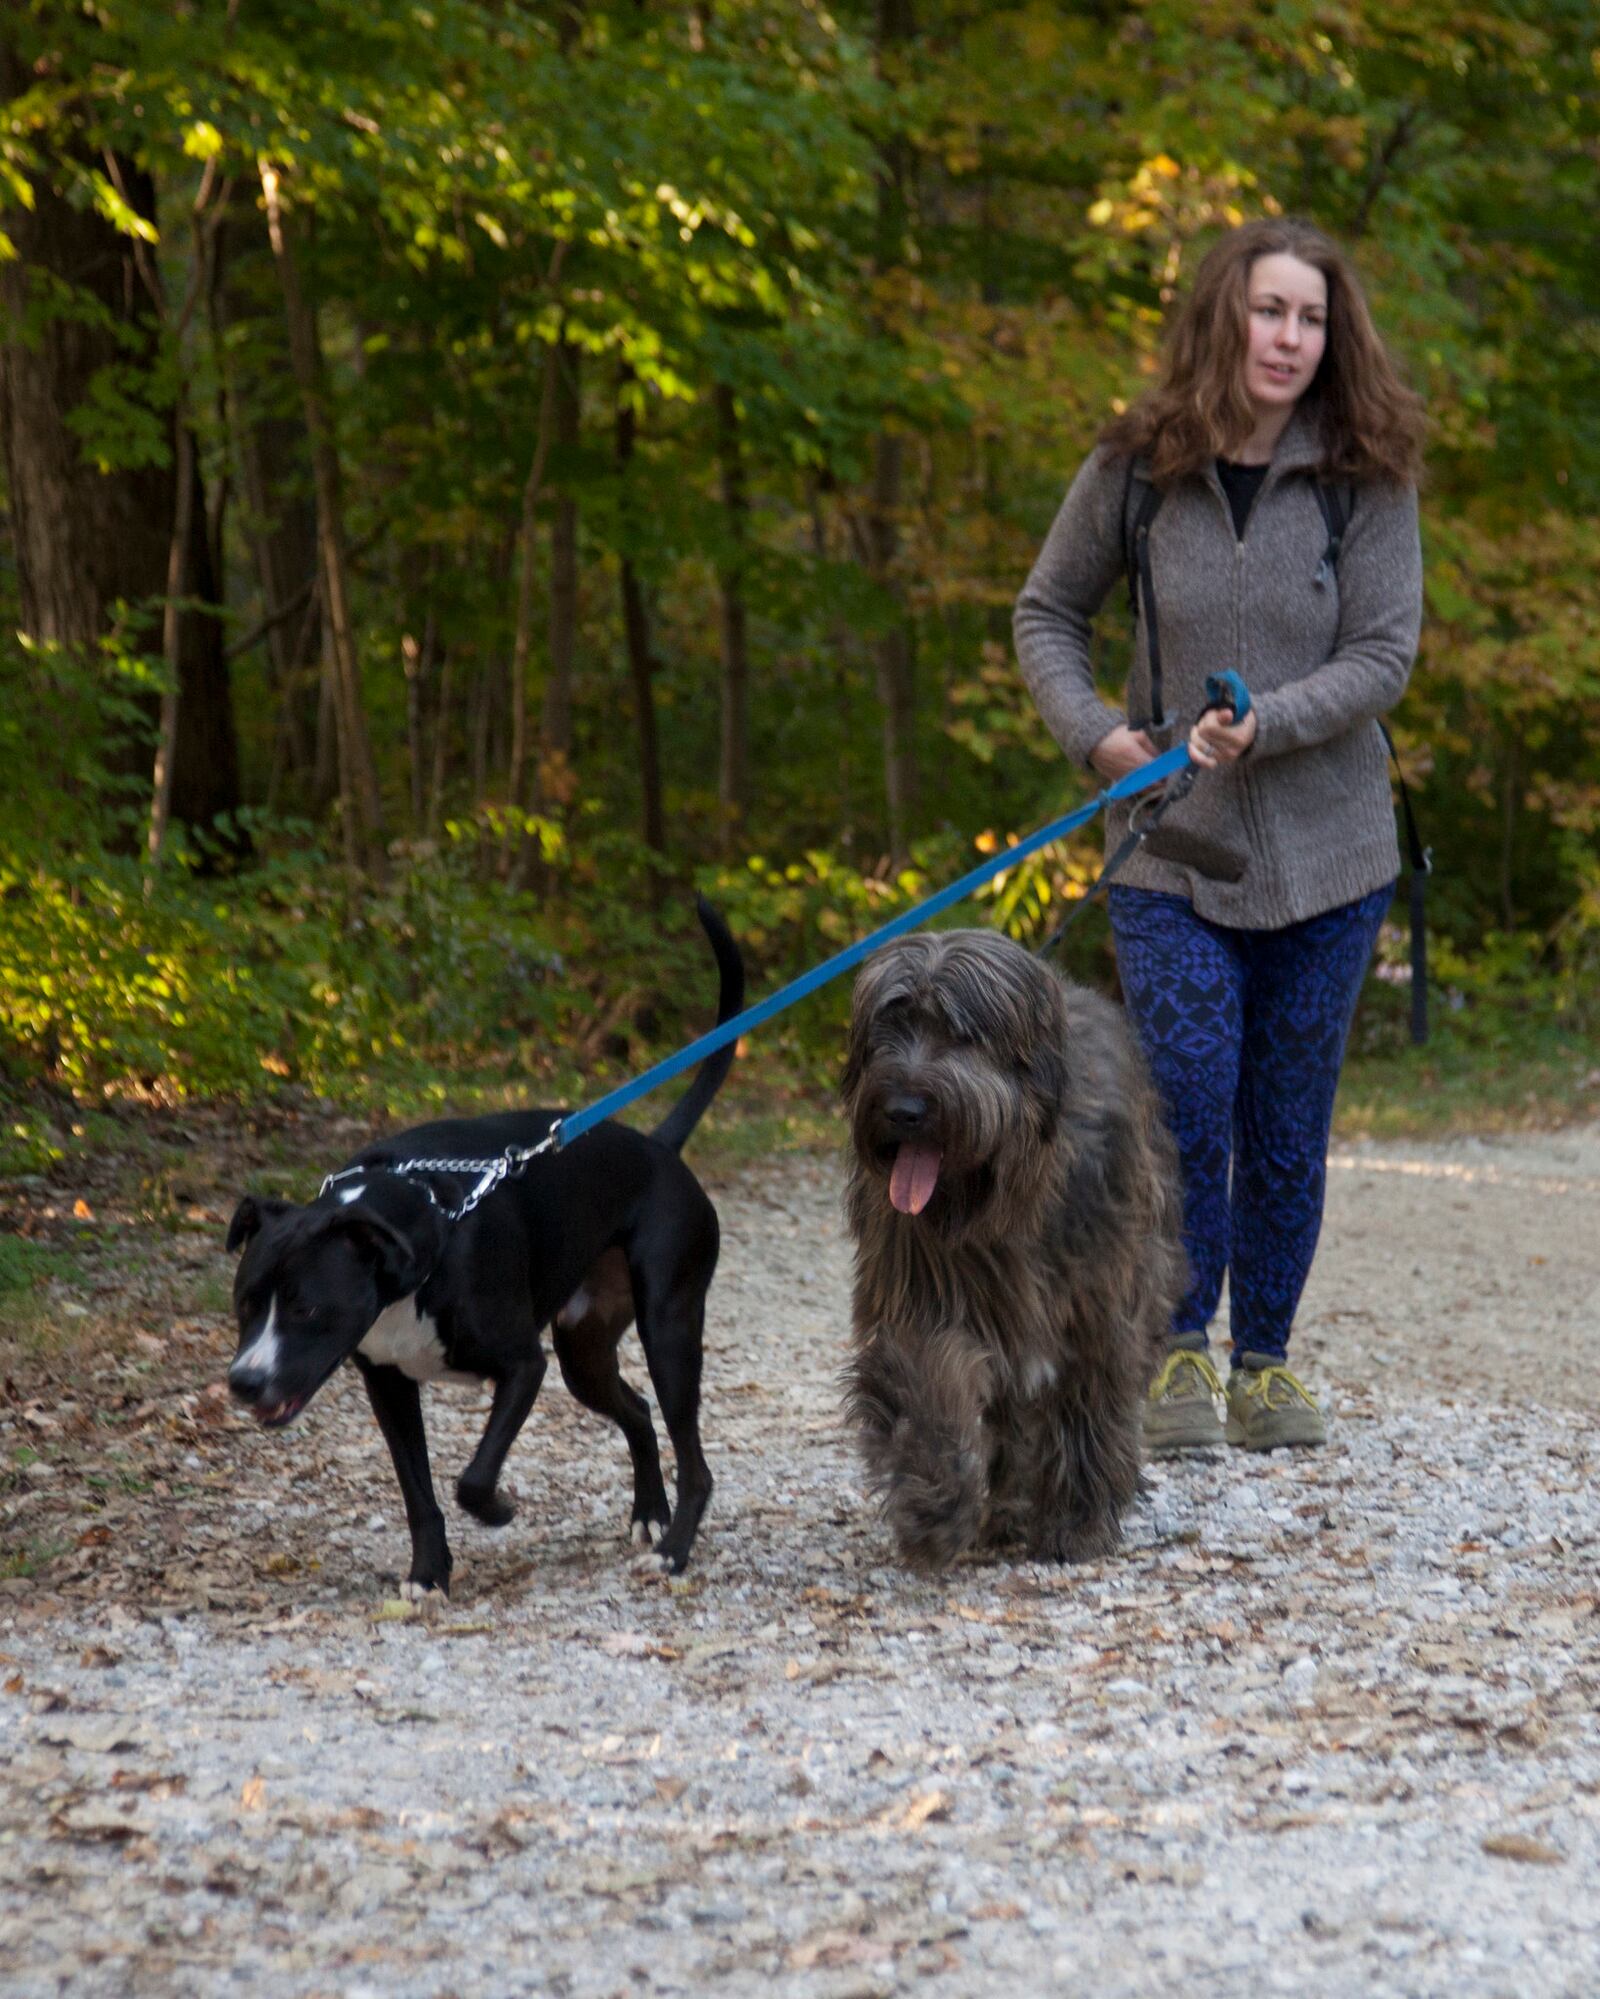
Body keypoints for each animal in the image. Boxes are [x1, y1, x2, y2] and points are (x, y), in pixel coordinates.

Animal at [225, 899, 744, 1599]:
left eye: (306, 1308)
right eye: (245, 1305)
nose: (243, 1382)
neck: (420, 1227)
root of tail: (658, 1148)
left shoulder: (523, 1367)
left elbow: (471, 1478)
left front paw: (497, 1509)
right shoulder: (388, 1384)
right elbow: (419, 1494)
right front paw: (428, 1575)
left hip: (668, 1330)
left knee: (694, 1456)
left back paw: (674, 1550)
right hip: (583, 1354)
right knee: (636, 1411)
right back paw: (649, 1515)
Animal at [844, 927, 1184, 1567]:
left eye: (961, 1034)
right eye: (887, 1029)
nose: (902, 1110)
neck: (1002, 1198)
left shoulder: (1095, 1307)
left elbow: (1087, 1403)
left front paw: (1077, 1523)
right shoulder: (924, 1289)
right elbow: (929, 1381)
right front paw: (935, 1502)